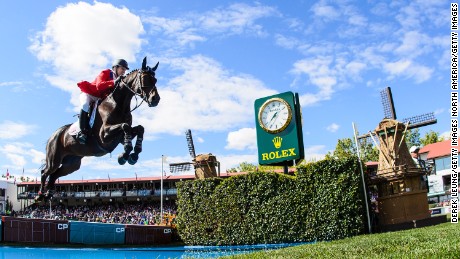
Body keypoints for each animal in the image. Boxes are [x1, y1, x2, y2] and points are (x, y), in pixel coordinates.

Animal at [35, 57, 160, 203]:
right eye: (145, 78)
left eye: (155, 80)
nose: (155, 99)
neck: (119, 104)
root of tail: (53, 135)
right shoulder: (104, 135)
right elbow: (125, 126)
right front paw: (125, 154)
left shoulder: (118, 137)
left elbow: (139, 129)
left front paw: (133, 154)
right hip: (54, 158)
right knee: (46, 172)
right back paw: (40, 195)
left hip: (72, 163)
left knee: (54, 175)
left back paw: (48, 194)